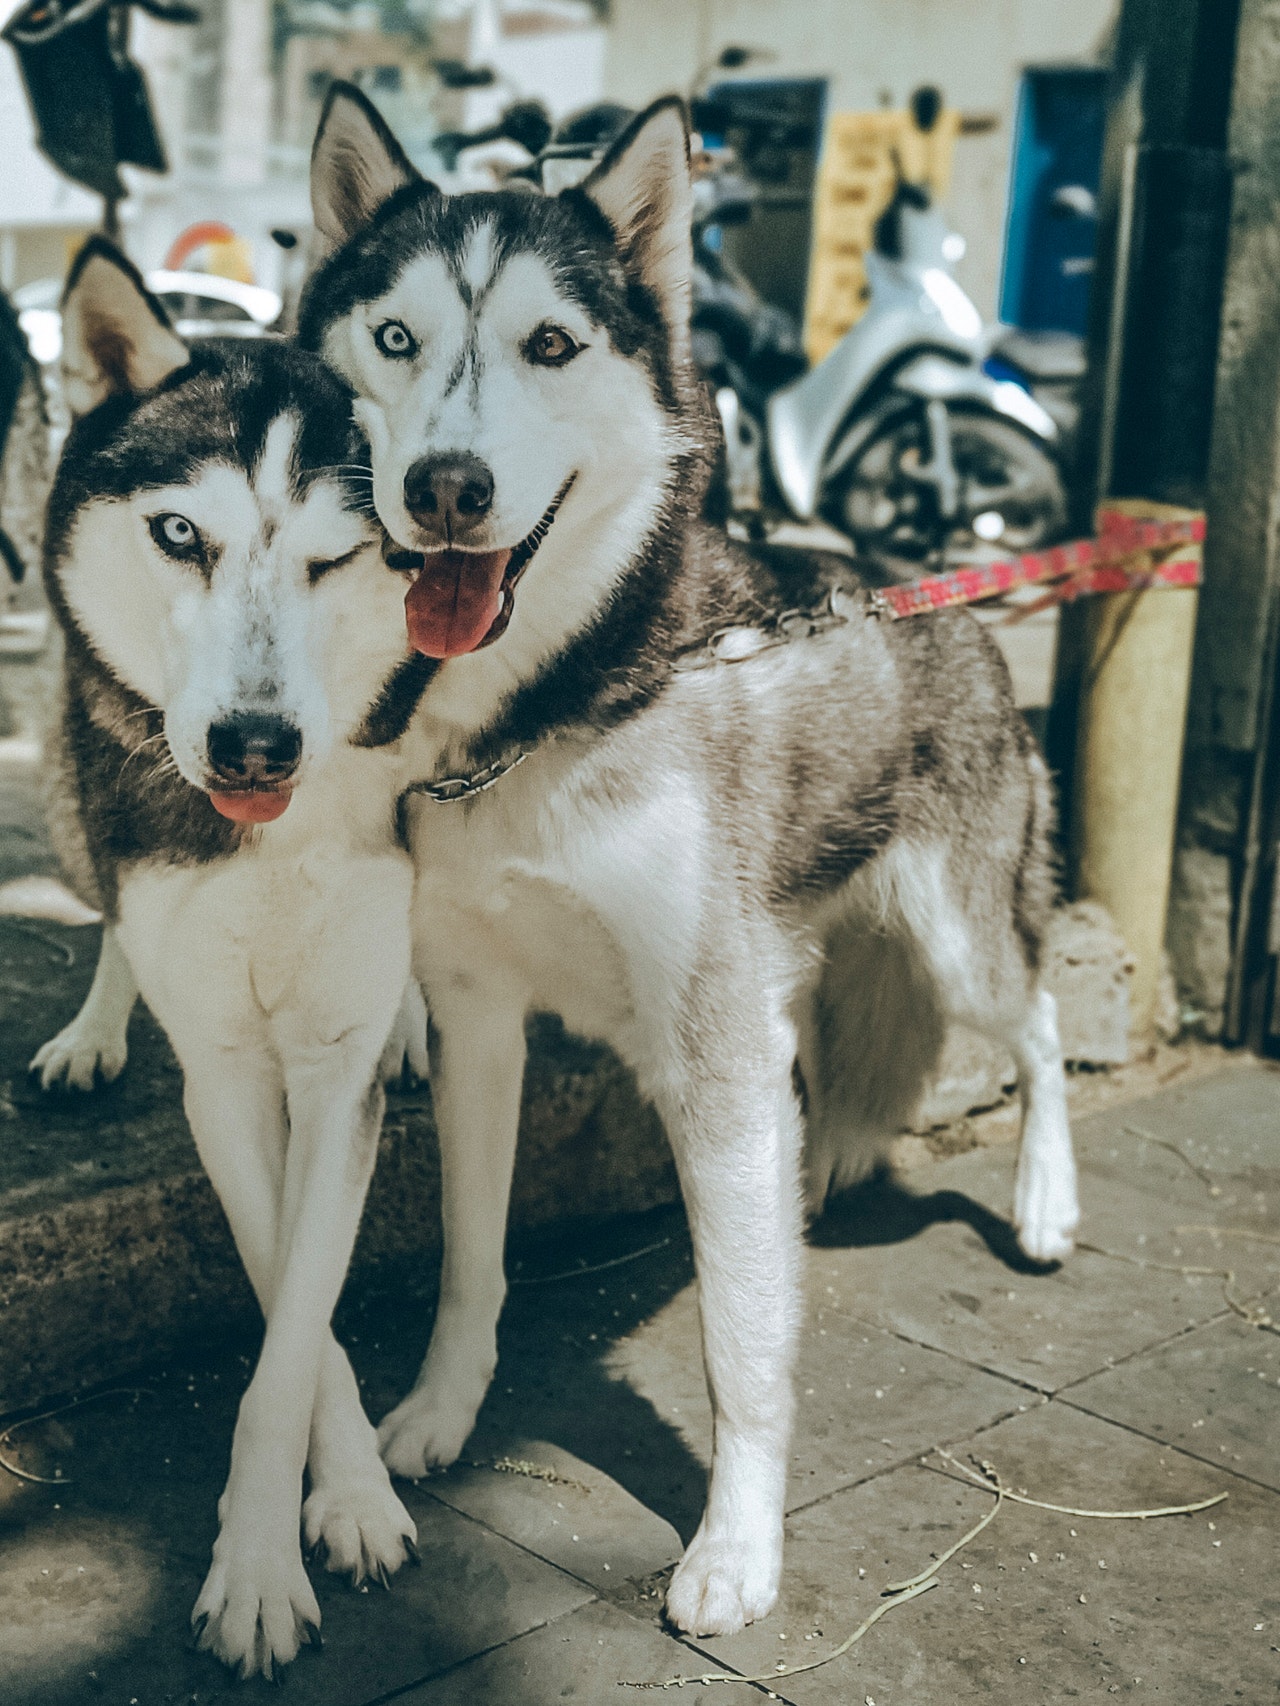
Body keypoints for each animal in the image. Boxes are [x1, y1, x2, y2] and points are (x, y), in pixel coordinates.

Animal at [42, 243, 433, 1678]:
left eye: (336, 558)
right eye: (179, 535)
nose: (256, 744)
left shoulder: (328, 1068)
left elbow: (299, 1326)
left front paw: (331, 1514)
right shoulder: (222, 1071)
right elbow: (289, 1316)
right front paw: (274, 1555)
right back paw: (93, 1029)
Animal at [300, 93, 1085, 1637]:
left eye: (550, 345)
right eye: (397, 336)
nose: (446, 485)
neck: (544, 718)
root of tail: (935, 590)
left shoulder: (711, 1050)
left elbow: (739, 1338)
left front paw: (735, 1549)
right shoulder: (479, 1016)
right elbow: (472, 1254)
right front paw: (437, 1413)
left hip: (955, 925)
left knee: (1032, 1015)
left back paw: (1040, 1198)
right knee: (848, 1039)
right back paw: (828, 1160)